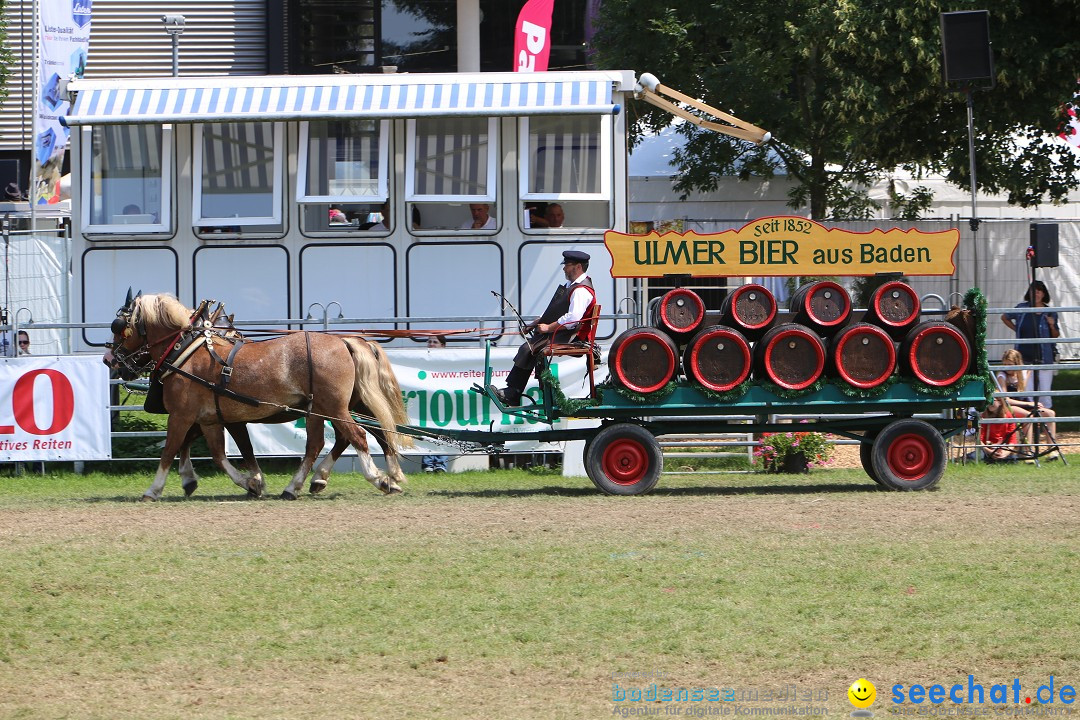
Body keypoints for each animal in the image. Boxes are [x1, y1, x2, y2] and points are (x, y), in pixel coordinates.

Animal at [103, 293, 410, 500]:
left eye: (119, 326)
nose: (109, 360)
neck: (186, 351)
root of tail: (345, 341)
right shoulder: (210, 419)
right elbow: (219, 454)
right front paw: (249, 482)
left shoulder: (182, 416)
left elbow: (170, 450)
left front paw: (153, 489)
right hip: (329, 407)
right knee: (343, 439)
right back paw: (306, 484)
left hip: (334, 407)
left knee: (357, 436)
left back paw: (377, 478)